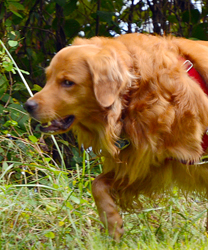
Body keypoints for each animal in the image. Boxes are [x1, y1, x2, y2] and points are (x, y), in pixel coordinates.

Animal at [24, 33, 208, 240]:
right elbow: (97, 184)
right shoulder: (149, 163)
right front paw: (112, 223)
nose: (28, 105)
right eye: (48, 78)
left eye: (67, 82)